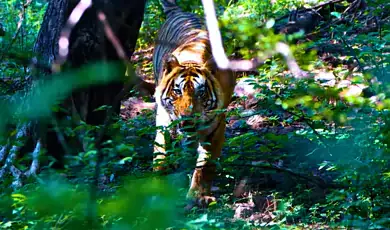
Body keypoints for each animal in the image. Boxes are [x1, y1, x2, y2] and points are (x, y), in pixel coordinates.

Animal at [152, 0, 235, 208]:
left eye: (201, 93)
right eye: (177, 91)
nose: (187, 119)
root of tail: (178, 10)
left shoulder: (216, 126)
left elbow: (205, 165)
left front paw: (199, 196)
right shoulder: (165, 116)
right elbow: (161, 145)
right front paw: (160, 175)